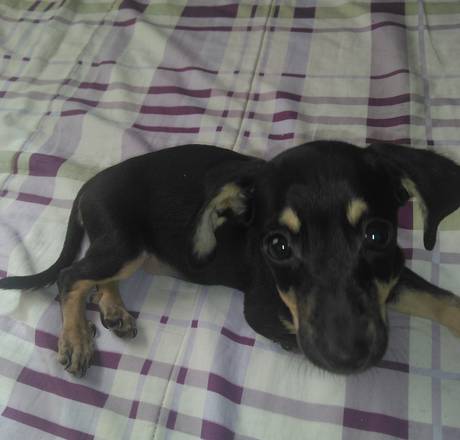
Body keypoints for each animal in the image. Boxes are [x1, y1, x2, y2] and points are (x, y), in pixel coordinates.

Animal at [1, 141, 460, 377]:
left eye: (377, 234)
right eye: (277, 247)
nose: (348, 357)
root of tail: (89, 186)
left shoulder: (390, 273)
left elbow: (443, 299)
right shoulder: (262, 309)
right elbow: (296, 335)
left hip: (132, 251)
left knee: (94, 279)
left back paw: (114, 311)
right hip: (123, 244)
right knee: (70, 277)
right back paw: (76, 339)